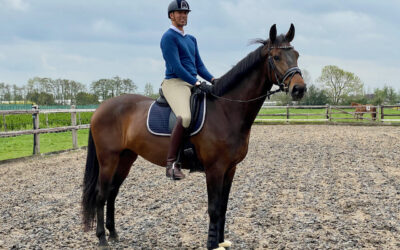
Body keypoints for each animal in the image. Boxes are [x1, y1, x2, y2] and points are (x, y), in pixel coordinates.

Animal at [81, 23, 306, 248]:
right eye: (276, 57)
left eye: (296, 55)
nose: (299, 89)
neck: (225, 110)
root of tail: (100, 108)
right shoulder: (215, 169)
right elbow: (213, 209)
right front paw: (212, 244)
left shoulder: (230, 169)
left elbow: (223, 207)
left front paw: (221, 241)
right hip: (108, 159)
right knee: (101, 194)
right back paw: (102, 238)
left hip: (126, 158)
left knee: (112, 192)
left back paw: (113, 233)